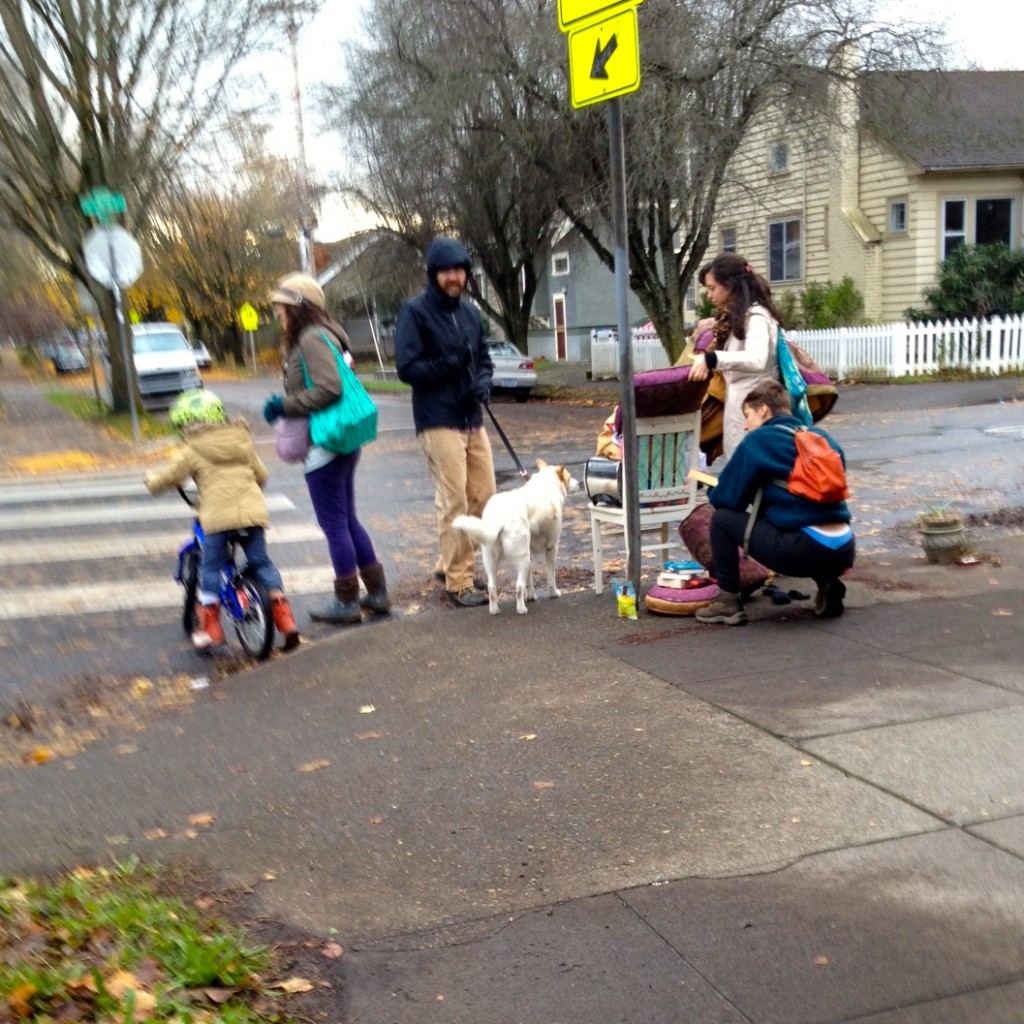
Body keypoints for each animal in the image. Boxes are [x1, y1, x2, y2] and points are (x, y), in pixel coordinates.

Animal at [454, 462, 581, 614]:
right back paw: (521, 609)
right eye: (569, 477)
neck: (545, 484)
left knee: (492, 587)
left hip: (493, 560)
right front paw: (554, 594)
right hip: (522, 558)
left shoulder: (530, 554)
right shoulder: (552, 548)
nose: (579, 483)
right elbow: (551, 578)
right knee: (518, 587)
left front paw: (531, 596)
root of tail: (500, 516)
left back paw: (494, 610)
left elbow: (529, 580)